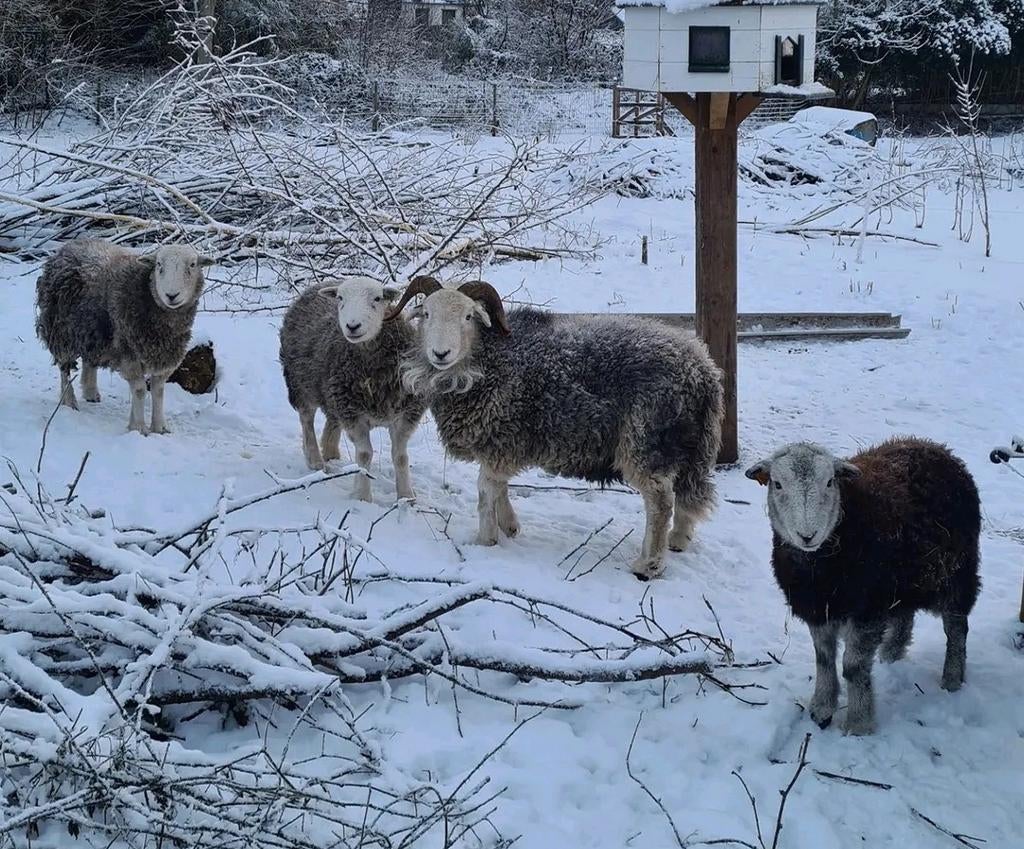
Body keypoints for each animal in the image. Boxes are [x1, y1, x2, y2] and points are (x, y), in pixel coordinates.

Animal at [35, 238, 213, 435]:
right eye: (159, 264)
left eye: (192, 264)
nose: (171, 295)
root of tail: (69, 245)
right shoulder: (129, 352)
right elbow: (140, 390)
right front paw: (139, 428)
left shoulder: (164, 355)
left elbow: (158, 391)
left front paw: (159, 427)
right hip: (60, 331)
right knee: (64, 369)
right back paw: (69, 401)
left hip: (92, 331)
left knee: (89, 361)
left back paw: (90, 392)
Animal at [279, 277, 427, 503]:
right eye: (340, 298)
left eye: (377, 298)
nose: (352, 326)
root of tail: (317, 286)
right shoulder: (353, 414)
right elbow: (365, 454)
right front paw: (363, 496)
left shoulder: (406, 413)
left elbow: (400, 457)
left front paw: (406, 497)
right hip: (301, 384)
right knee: (306, 420)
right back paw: (315, 459)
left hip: (334, 392)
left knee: (332, 419)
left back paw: (330, 451)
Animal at [386, 276, 724, 580]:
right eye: (426, 313)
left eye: (468, 316)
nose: (440, 354)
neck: (487, 360)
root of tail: (701, 370)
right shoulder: (501, 443)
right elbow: (498, 486)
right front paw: (509, 526)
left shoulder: (501, 434)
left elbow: (484, 491)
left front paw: (485, 539)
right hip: (692, 446)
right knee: (686, 492)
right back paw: (677, 540)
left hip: (646, 441)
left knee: (660, 501)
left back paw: (649, 564)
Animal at [745, 437, 981, 735]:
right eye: (777, 484)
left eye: (830, 482)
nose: (807, 535)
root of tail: (937, 447)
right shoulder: (818, 607)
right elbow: (823, 659)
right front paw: (822, 708)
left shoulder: (866, 610)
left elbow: (853, 667)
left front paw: (858, 723)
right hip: (900, 582)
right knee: (905, 615)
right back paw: (891, 654)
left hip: (957, 574)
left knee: (957, 629)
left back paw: (951, 679)